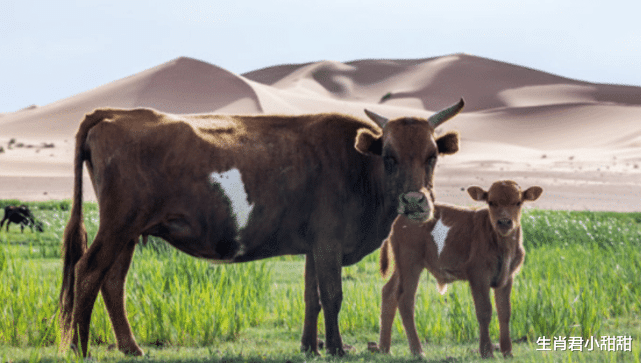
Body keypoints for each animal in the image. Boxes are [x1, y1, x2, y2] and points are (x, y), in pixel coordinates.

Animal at [57, 99, 462, 358]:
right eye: (390, 157)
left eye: (432, 156)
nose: (415, 202)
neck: (359, 166)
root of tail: (117, 113)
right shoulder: (329, 243)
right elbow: (332, 295)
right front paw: (335, 348)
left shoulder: (314, 245)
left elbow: (312, 297)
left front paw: (309, 347)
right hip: (117, 225)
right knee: (88, 271)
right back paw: (79, 347)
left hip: (128, 232)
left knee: (113, 282)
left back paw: (130, 347)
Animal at [378, 181, 544, 360]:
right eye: (491, 202)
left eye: (518, 202)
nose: (505, 222)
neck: (503, 245)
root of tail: (402, 215)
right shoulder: (478, 274)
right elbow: (484, 311)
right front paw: (486, 352)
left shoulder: (508, 276)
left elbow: (505, 311)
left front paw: (508, 352)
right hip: (410, 261)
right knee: (406, 299)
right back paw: (417, 351)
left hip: (401, 264)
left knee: (389, 292)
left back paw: (384, 348)